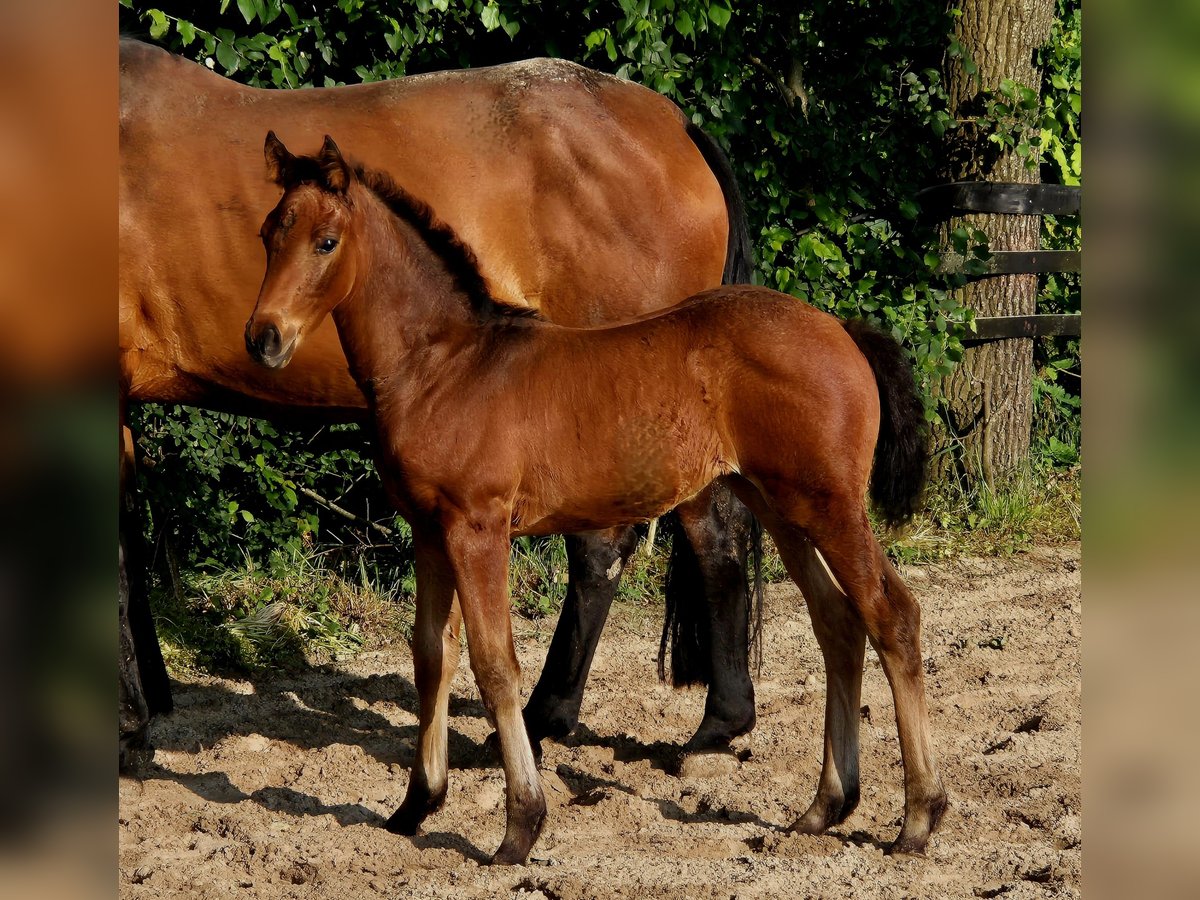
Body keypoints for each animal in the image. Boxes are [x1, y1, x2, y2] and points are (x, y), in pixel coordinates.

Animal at [246, 135, 945, 868]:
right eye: (269, 234)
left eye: (326, 242)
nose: (264, 338)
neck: (444, 366)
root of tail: (842, 330)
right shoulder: (430, 534)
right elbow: (431, 658)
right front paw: (415, 806)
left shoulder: (477, 528)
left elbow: (495, 665)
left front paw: (520, 828)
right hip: (781, 506)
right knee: (837, 622)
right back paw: (824, 807)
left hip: (830, 505)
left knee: (892, 616)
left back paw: (918, 818)